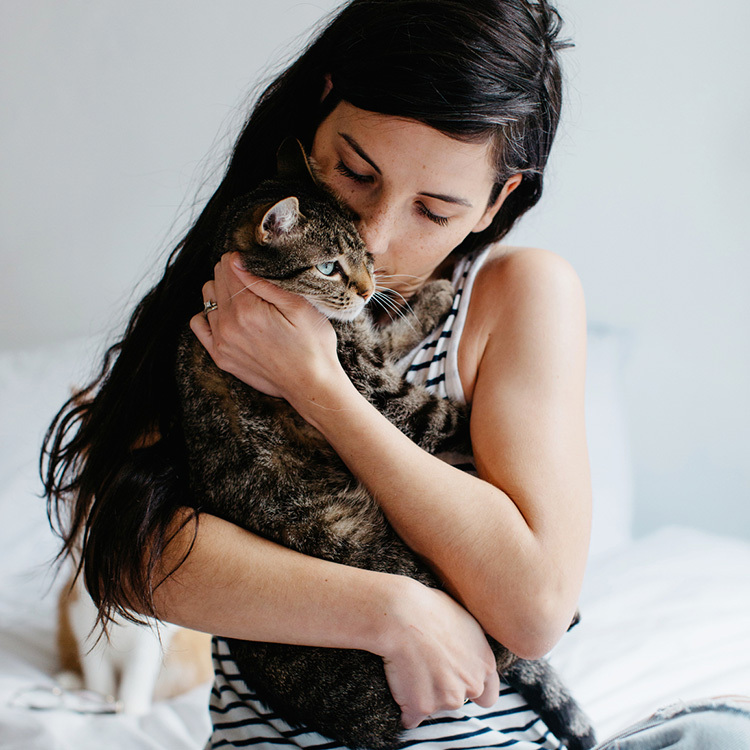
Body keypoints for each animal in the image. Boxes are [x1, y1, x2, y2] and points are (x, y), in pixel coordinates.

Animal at [176, 141, 600, 750]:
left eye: (365, 255)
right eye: (328, 265)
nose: (362, 283)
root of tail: (370, 722)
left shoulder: (367, 346)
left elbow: (389, 326)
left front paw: (430, 294)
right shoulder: (375, 390)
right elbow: (438, 408)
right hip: (401, 565)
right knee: (495, 647)